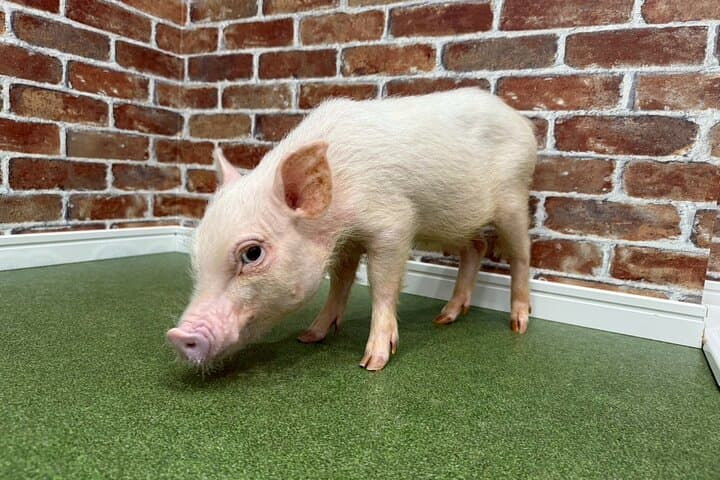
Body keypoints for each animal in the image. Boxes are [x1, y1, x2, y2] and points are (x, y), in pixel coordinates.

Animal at [166, 87, 537, 371]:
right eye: (196, 254)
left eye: (252, 253)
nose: (177, 335)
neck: (335, 215)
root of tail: (522, 121)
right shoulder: (345, 241)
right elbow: (340, 282)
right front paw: (309, 336)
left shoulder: (394, 223)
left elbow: (380, 284)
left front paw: (373, 362)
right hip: (455, 223)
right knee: (475, 247)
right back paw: (444, 318)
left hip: (514, 197)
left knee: (521, 253)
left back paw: (518, 325)